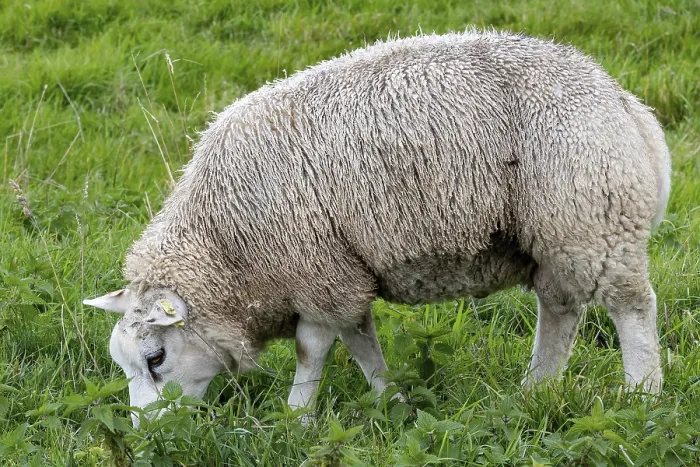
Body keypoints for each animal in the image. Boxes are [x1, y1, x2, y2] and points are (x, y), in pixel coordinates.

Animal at [83, 29, 671, 427]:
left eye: (156, 358)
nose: (146, 436)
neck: (225, 247)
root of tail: (629, 107)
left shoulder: (315, 272)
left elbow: (313, 350)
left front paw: (295, 420)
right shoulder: (342, 273)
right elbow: (360, 342)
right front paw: (392, 400)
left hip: (594, 218)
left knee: (632, 307)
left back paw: (643, 396)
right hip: (557, 235)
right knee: (561, 309)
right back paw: (534, 391)